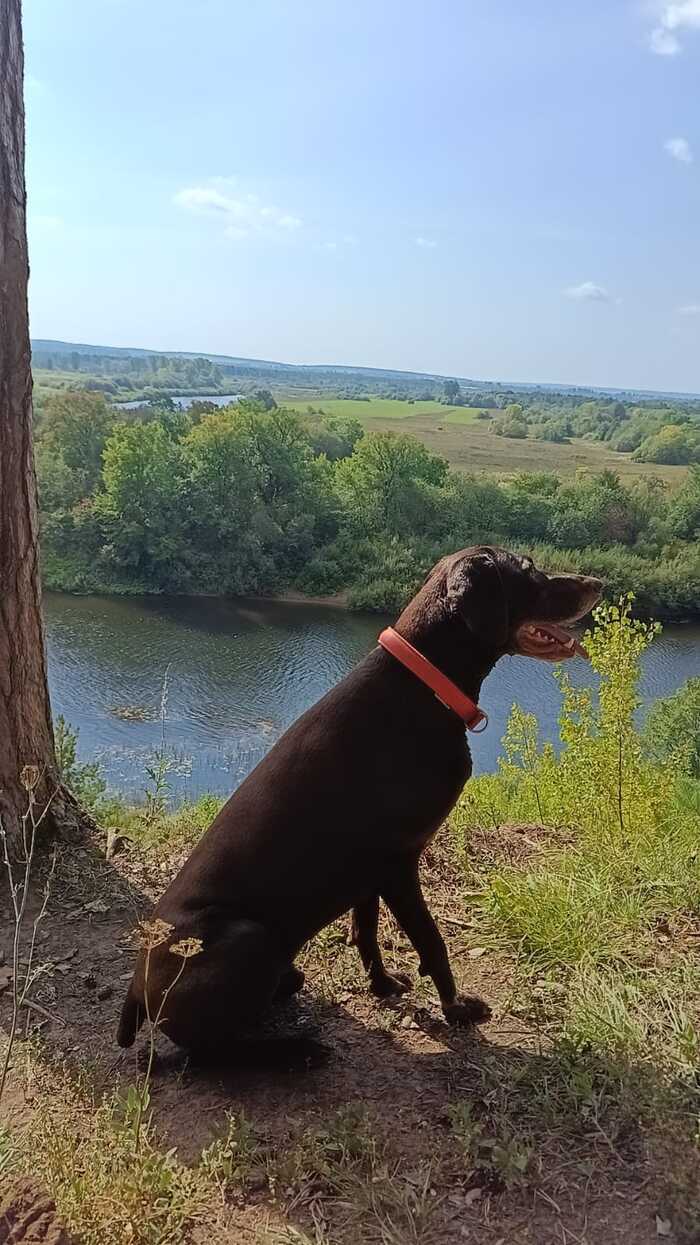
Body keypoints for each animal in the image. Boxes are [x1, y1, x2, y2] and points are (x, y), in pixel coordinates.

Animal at [117, 547, 597, 1060]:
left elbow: (366, 931)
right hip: (249, 938)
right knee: (212, 1052)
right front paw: (457, 1009)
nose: (598, 584)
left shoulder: (368, 870)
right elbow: (432, 942)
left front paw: (383, 986)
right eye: (528, 569)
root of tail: (135, 992)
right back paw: (298, 1051)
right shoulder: (399, 864)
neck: (424, 685)